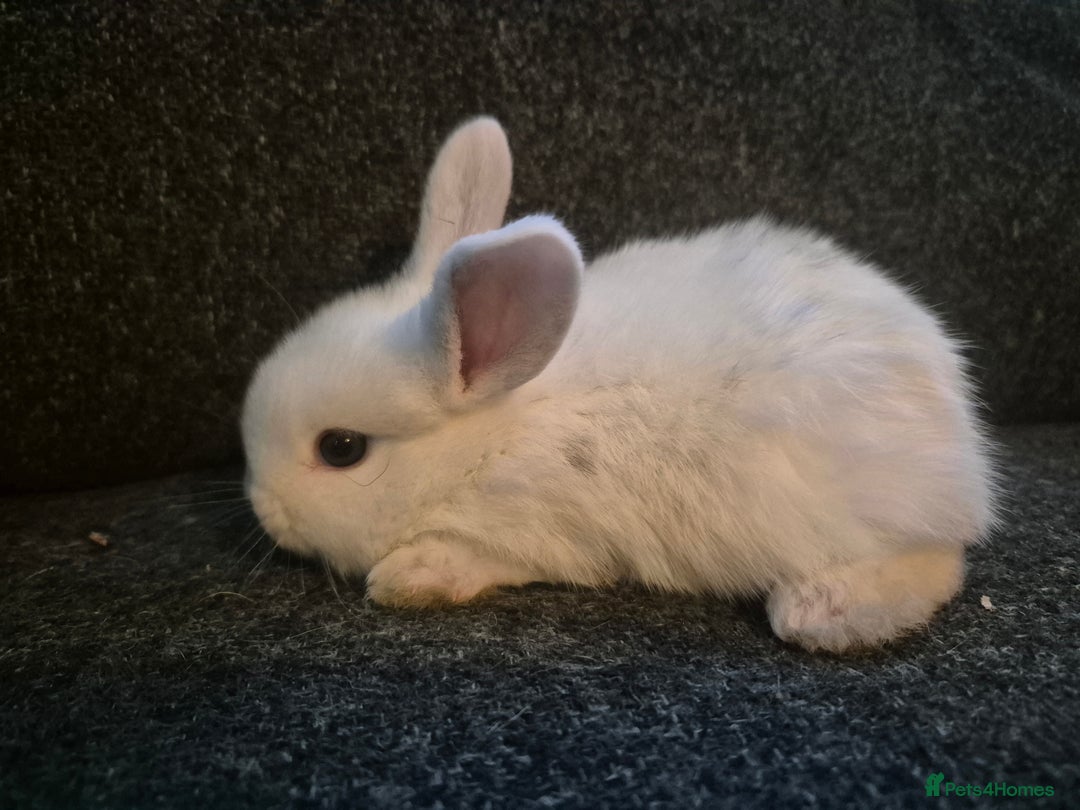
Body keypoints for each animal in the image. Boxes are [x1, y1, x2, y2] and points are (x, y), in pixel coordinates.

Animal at [241, 116, 998, 653]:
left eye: (341, 449)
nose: (261, 507)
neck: (500, 429)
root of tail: (961, 438)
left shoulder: (540, 531)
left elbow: (482, 556)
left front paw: (410, 576)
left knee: (937, 562)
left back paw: (824, 609)